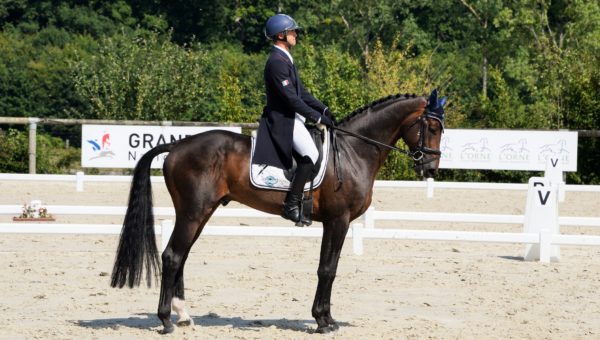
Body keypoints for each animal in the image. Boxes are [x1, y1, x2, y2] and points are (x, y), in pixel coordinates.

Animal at [109, 91, 446, 334]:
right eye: (431, 127)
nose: (430, 168)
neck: (353, 152)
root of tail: (179, 145)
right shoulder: (338, 220)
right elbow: (327, 269)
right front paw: (322, 322)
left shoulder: (337, 222)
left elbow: (330, 267)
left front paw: (327, 318)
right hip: (193, 212)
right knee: (172, 256)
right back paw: (166, 320)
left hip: (200, 213)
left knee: (181, 256)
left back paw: (183, 314)